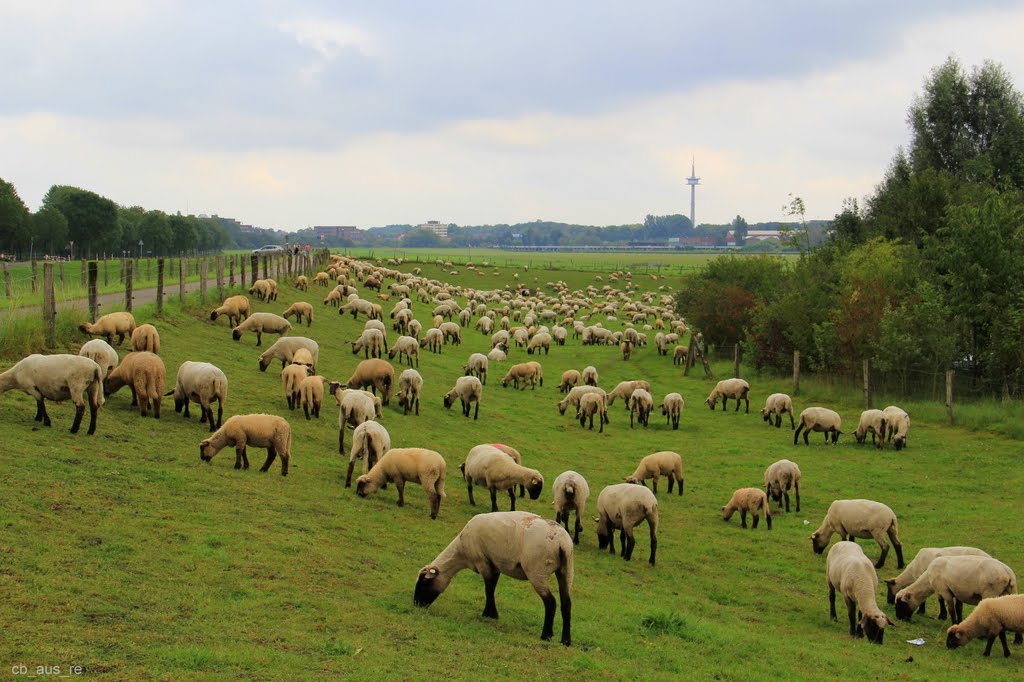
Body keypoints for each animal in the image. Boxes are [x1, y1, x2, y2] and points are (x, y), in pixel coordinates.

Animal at [415, 509, 577, 643]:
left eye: (424, 583)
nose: (416, 604)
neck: (460, 552)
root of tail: (562, 543)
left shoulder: (483, 562)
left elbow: (488, 589)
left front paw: (489, 614)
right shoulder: (495, 565)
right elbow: (492, 587)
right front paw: (492, 613)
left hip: (537, 571)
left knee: (550, 602)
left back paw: (546, 635)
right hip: (566, 570)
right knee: (566, 603)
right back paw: (566, 641)